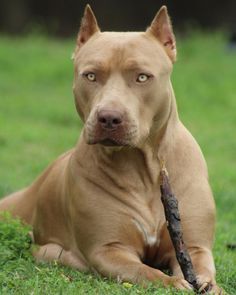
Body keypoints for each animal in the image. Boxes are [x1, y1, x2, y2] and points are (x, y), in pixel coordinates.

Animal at [0, 4, 221, 294]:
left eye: (142, 77)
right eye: (91, 75)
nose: (108, 117)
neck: (142, 167)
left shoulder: (194, 247)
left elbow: (202, 271)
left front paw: (208, 285)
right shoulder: (109, 249)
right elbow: (147, 272)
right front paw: (173, 283)